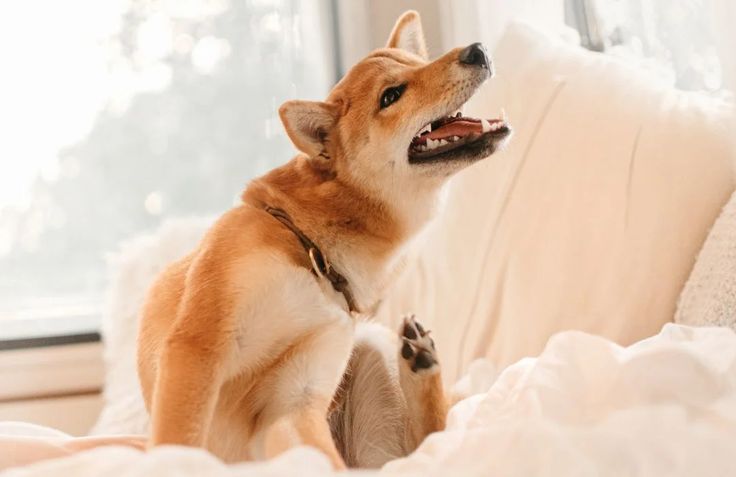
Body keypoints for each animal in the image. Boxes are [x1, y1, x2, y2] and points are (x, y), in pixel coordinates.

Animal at [139, 10, 512, 468]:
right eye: (391, 96)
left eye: (416, 63)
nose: (476, 50)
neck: (314, 252)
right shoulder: (198, 346)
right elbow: (178, 438)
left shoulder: (295, 398)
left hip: (368, 349)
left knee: (429, 440)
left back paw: (422, 364)